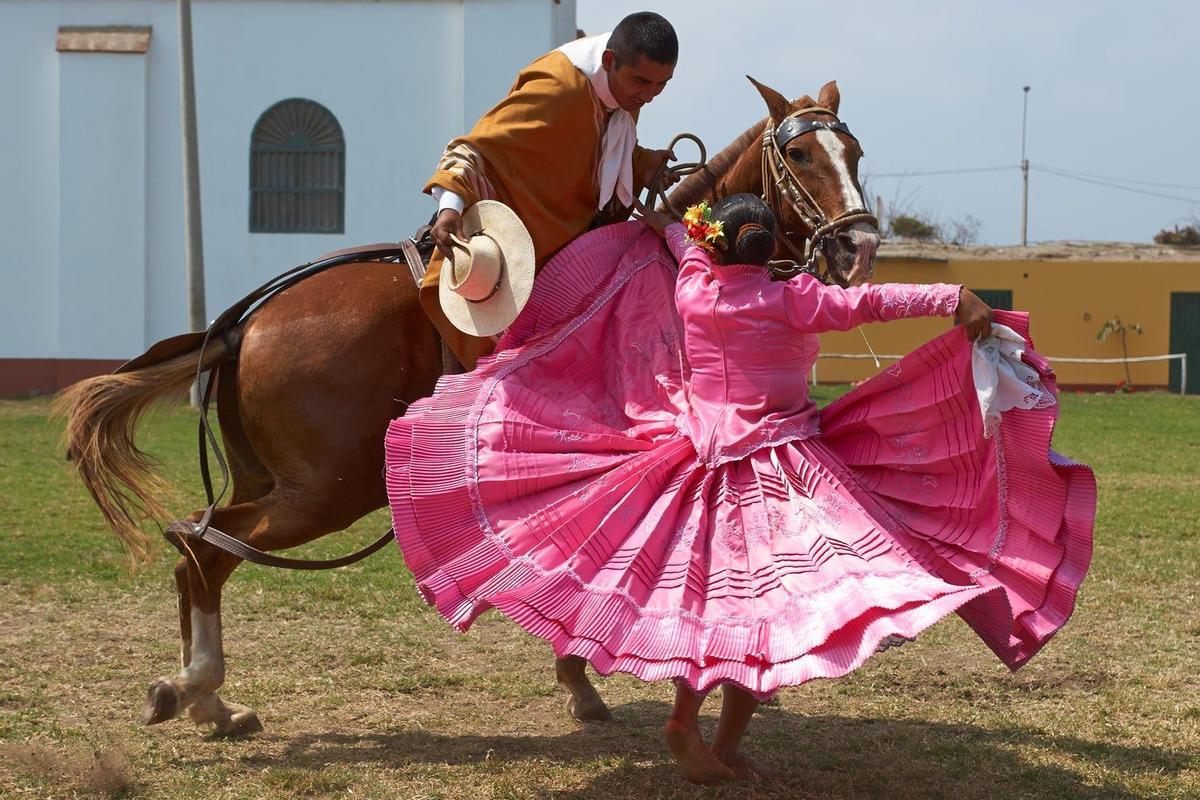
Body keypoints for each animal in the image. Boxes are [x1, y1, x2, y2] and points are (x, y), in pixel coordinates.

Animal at [58, 77, 883, 734]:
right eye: (803, 157)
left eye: (856, 152)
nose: (859, 249)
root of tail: (242, 325)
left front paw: (582, 676)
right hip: (328, 490)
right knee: (202, 548)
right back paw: (198, 689)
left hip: (280, 483)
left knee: (202, 551)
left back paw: (210, 703)